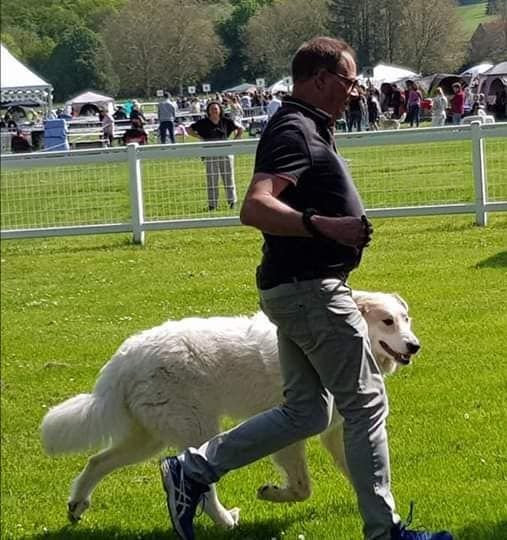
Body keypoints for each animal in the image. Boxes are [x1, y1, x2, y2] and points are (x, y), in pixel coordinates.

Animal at [40, 292, 420, 528]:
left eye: (405, 319)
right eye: (387, 322)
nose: (414, 345)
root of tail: (125, 356)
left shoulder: (337, 431)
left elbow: (364, 471)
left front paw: (385, 509)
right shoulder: (292, 431)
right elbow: (302, 487)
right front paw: (273, 495)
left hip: (148, 438)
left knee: (96, 462)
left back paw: (77, 506)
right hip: (195, 429)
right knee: (200, 482)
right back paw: (225, 521)